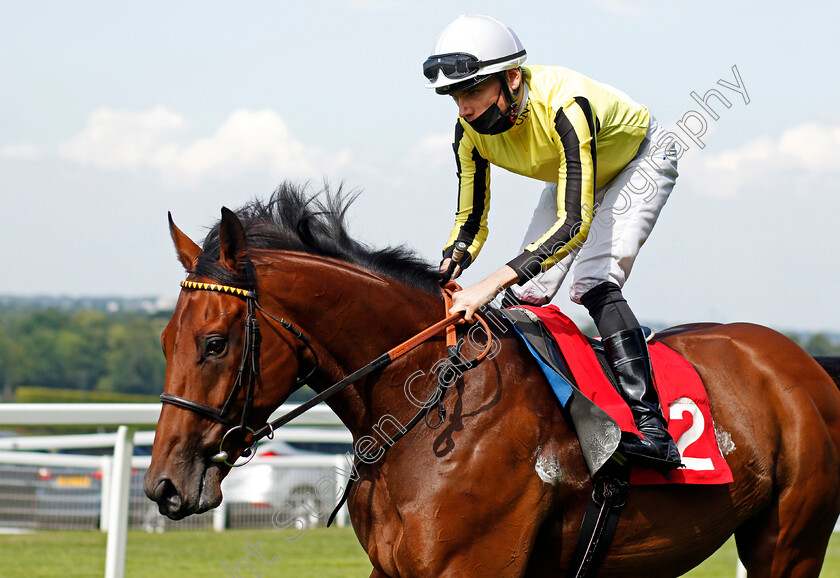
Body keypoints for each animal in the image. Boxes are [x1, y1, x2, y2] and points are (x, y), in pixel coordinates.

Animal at [146, 184, 840, 576]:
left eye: (214, 343)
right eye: (164, 341)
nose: (164, 486)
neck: (425, 401)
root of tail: (803, 364)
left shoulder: (472, 566)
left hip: (790, 544)